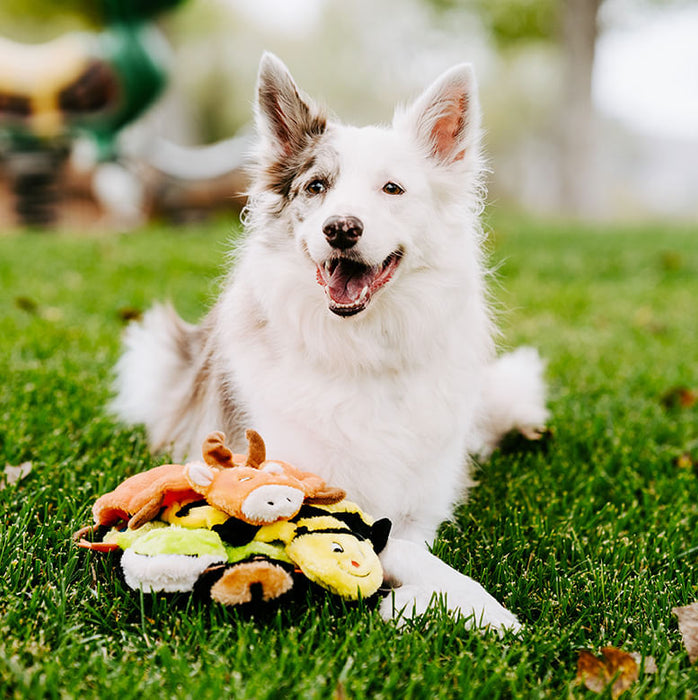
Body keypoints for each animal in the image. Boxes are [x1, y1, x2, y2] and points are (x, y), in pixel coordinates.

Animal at [111, 54, 548, 632]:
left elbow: (412, 545)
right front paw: (472, 609)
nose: (341, 228)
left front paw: (446, 603)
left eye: (392, 189)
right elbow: (393, 547)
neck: (361, 347)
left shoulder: (418, 506)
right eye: (317, 186)